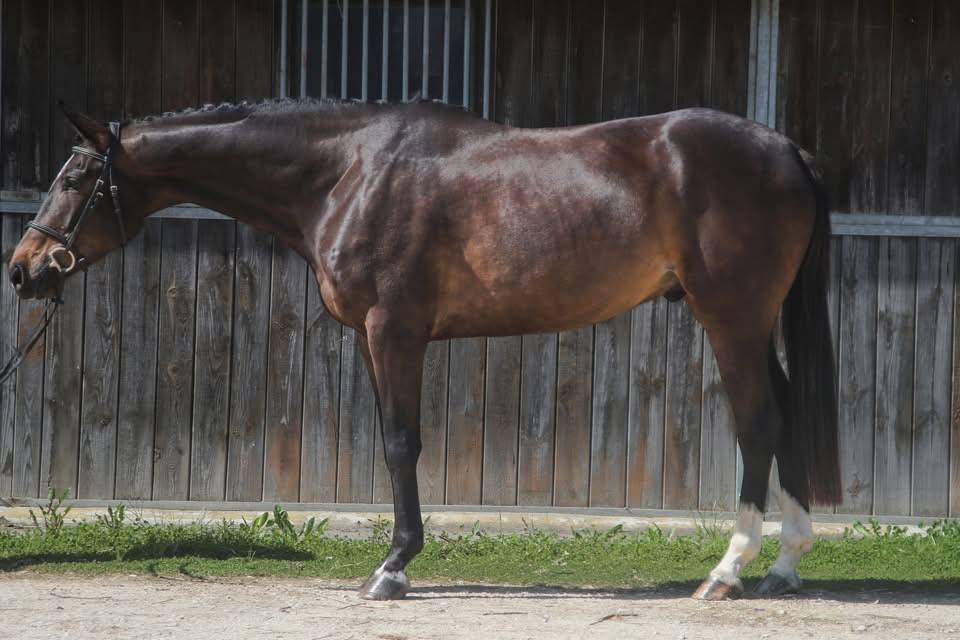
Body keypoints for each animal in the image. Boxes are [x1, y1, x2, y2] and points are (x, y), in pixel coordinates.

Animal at [9, 98, 840, 601]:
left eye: (75, 178)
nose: (23, 269)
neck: (346, 175)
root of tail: (785, 148)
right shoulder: (376, 339)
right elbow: (394, 442)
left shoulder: (393, 331)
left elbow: (400, 443)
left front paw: (393, 567)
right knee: (786, 415)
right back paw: (786, 564)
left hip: (730, 317)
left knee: (759, 425)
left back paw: (728, 570)